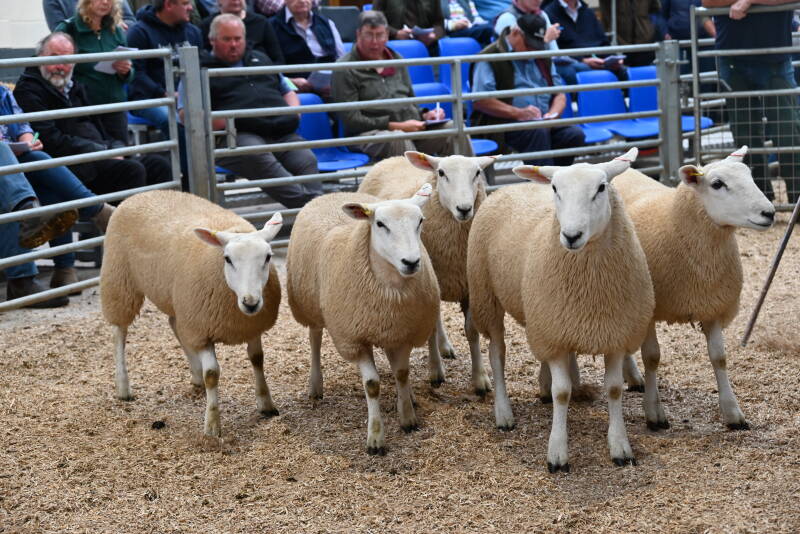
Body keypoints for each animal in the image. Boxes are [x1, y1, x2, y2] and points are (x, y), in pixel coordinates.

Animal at [100, 190, 284, 437]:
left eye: (268, 257)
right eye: (227, 259)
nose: (251, 302)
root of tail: (142, 193)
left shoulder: (250, 325)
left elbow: (257, 359)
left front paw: (266, 404)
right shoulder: (201, 329)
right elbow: (212, 374)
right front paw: (212, 424)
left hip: (179, 301)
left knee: (174, 323)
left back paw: (195, 375)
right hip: (119, 280)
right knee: (119, 332)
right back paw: (123, 387)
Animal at [286, 184, 440, 455]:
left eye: (420, 221)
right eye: (380, 224)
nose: (411, 262)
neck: (391, 292)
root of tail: (333, 193)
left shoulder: (402, 332)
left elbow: (402, 373)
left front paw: (408, 418)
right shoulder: (354, 339)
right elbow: (372, 385)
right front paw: (375, 438)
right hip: (310, 306)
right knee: (314, 339)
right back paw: (315, 386)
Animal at [358, 151, 497, 395]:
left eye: (477, 173)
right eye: (441, 173)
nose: (464, 209)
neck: (456, 247)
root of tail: (391, 158)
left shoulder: (468, 285)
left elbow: (472, 331)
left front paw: (480, 378)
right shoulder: (430, 284)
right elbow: (430, 328)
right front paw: (435, 372)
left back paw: (445, 347)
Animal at [467, 148, 655, 472]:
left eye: (601, 188)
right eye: (555, 189)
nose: (571, 235)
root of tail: (509, 188)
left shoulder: (614, 334)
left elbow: (614, 389)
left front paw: (620, 447)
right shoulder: (554, 334)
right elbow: (562, 392)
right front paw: (557, 452)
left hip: (543, 316)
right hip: (487, 297)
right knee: (497, 354)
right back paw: (504, 413)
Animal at [608, 146, 776, 431]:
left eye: (750, 175)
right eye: (717, 184)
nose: (769, 213)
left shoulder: (712, 305)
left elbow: (719, 357)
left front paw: (733, 413)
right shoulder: (650, 309)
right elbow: (652, 357)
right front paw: (654, 413)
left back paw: (633, 377)